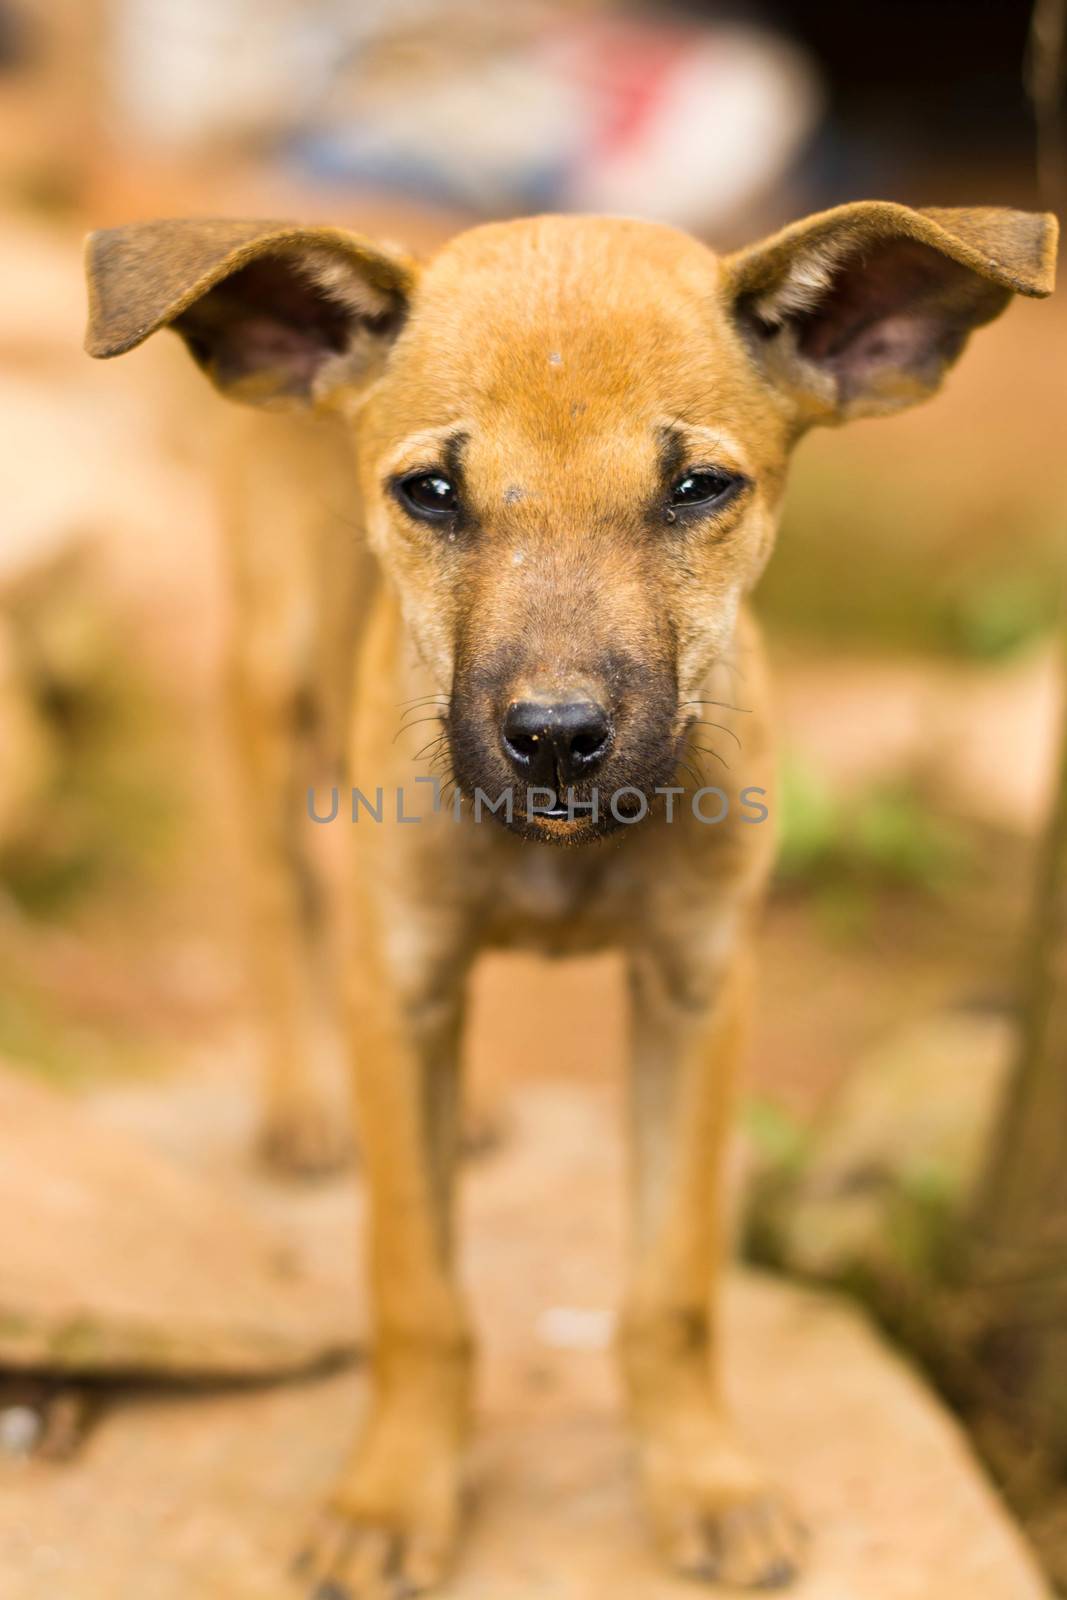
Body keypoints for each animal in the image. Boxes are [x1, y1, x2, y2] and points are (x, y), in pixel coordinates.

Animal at [85, 200, 1062, 1587]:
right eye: (429, 490)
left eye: (697, 487)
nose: (553, 738)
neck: (567, 850)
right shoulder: (400, 986)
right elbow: (415, 1288)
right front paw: (393, 1496)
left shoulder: (697, 991)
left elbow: (673, 1288)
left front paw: (704, 1479)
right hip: (269, 696)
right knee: (280, 906)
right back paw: (301, 1104)